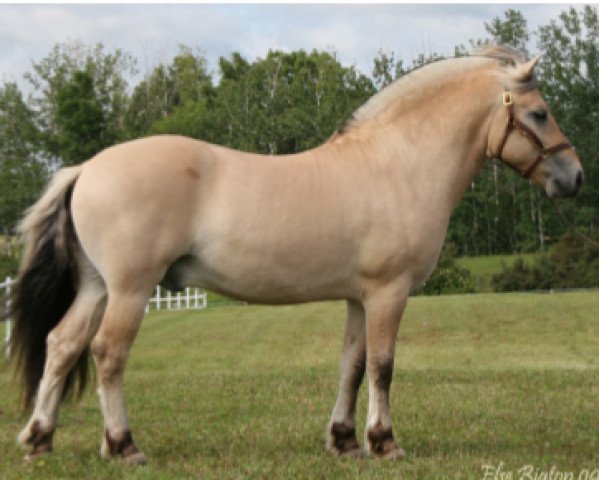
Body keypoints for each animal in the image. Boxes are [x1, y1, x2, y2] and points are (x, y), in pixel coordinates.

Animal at [7, 47, 584, 464]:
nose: (575, 177)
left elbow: (352, 365)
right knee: (107, 353)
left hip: (97, 287)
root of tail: (86, 168)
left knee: (62, 345)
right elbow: (382, 366)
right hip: (129, 289)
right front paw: (384, 441)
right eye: (539, 113)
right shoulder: (389, 292)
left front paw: (345, 440)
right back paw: (122, 445)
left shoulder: (359, 298)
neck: (399, 163)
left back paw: (40, 438)